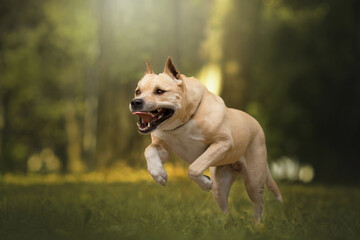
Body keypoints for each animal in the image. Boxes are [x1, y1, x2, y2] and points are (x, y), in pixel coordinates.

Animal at [129, 57, 282, 223]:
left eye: (159, 91)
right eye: (138, 91)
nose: (135, 102)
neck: (182, 122)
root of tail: (256, 124)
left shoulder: (222, 143)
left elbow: (194, 168)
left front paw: (205, 183)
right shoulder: (162, 147)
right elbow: (149, 151)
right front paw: (159, 174)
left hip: (254, 180)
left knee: (258, 204)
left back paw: (256, 225)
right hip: (220, 186)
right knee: (224, 205)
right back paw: (225, 224)